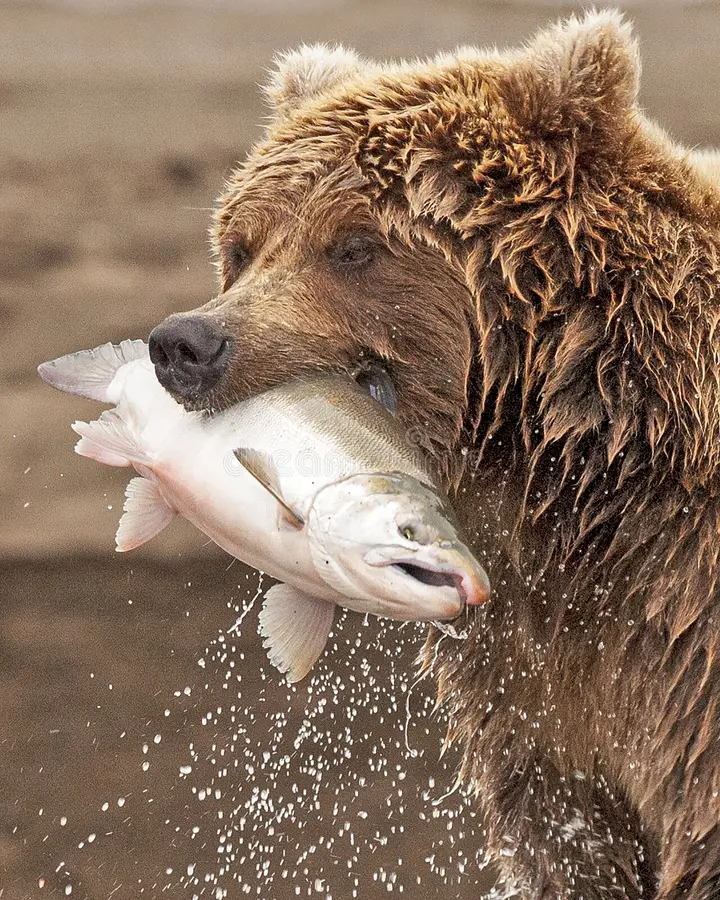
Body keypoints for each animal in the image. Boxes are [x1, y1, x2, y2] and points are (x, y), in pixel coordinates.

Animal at [147, 11, 720, 899]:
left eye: (353, 245)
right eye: (241, 246)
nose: (187, 343)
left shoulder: (683, 625)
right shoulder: (535, 670)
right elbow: (568, 835)